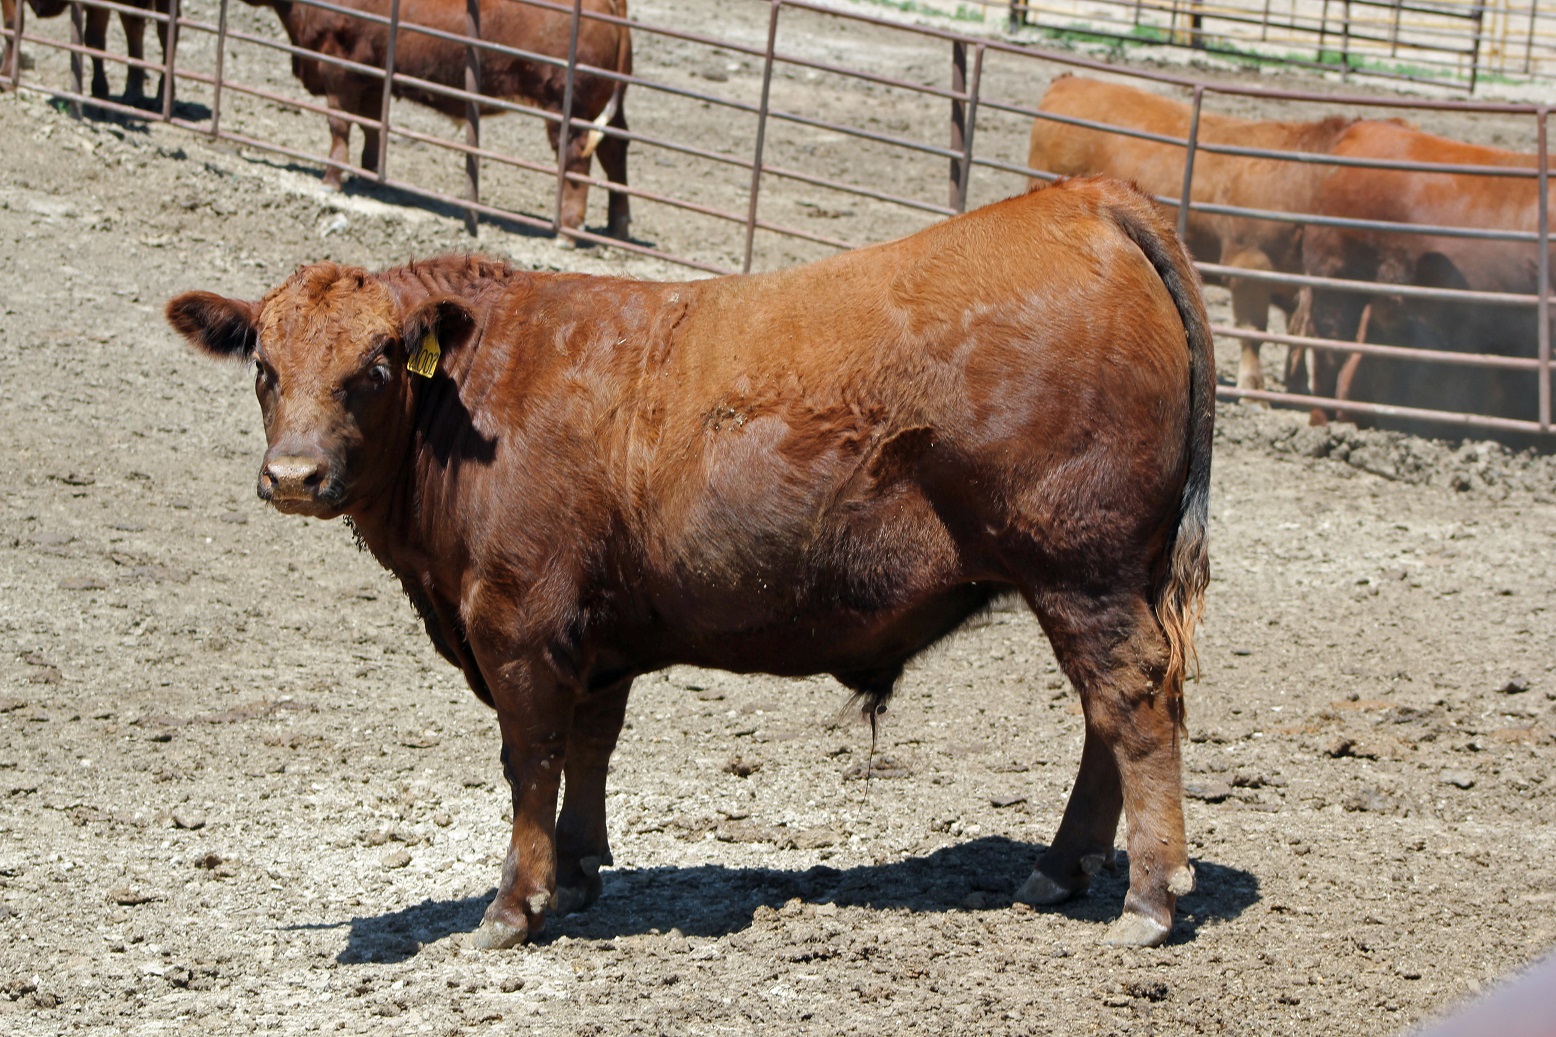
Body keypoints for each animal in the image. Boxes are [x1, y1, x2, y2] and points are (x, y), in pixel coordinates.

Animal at [167, 173, 1213, 946]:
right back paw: (1061, 869)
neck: (476, 401)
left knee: (1131, 697)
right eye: (263, 364)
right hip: (1102, 577)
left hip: (1079, 570)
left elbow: (530, 754)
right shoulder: (595, 636)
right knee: (1109, 713)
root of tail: (1083, 198)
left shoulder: (519, 620)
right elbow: (589, 744)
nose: (293, 475)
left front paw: (512, 905)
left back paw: (1149, 896)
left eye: (377, 365)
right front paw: (576, 872)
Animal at [239, 0, 628, 235]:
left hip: (569, 107)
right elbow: (371, 126)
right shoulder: (372, 77)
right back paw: (618, 224)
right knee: (615, 153)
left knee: (576, 159)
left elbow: (340, 126)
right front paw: (367, 173)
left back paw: (569, 228)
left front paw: (332, 178)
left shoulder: (339, 66)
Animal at [1033, 73, 1375, 392]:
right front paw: (1253, 385)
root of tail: (1069, 80)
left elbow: (1296, 332)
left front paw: (1297, 382)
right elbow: (1254, 331)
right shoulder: (1249, 268)